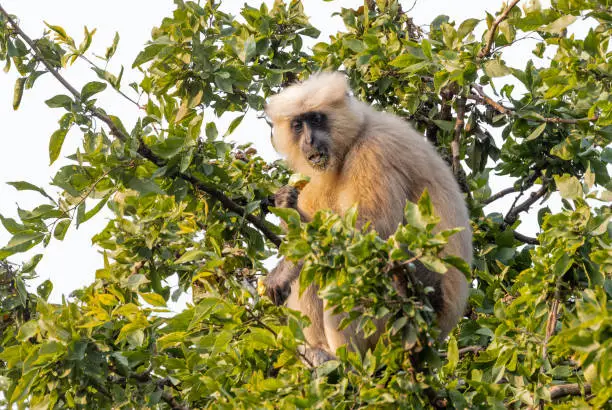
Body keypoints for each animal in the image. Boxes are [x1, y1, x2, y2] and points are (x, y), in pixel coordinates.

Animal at [262, 71, 474, 366]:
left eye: (316, 119)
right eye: (297, 125)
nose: (309, 141)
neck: (353, 140)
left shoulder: (375, 151)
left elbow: (374, 235)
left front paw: (282, 270)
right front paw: (287, 208)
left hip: (404, 313)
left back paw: (346, 362)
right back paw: (320, 352)